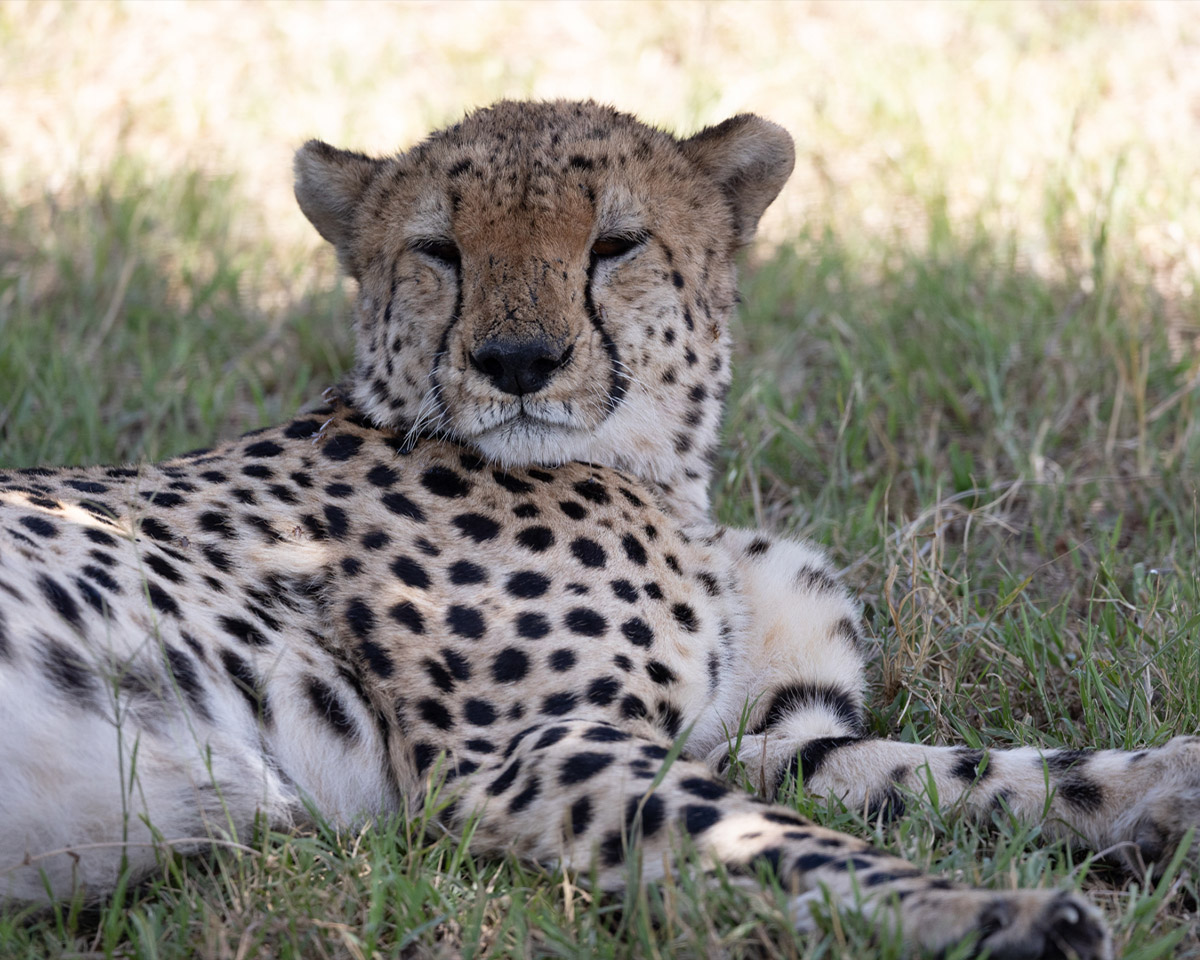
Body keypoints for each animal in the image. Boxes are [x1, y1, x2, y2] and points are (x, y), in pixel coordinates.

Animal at [0, 101, 1190, 955]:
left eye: (615, 245)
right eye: (438, 251)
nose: (518, 362)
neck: (660, 479)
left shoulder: (752, 734)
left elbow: (956, 769)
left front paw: (1163, 786)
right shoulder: (526, 753)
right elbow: (791, 843)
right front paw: (1003, 917)